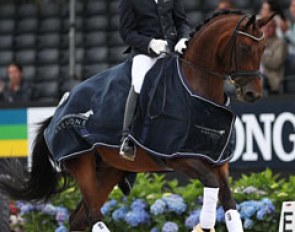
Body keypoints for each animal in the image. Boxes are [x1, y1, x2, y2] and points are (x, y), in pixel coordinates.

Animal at [0, 10, 274, 232]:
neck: (197, 88)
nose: (253, 94)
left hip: (109, 169)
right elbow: (211, 188)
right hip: (81, 163)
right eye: (244, 48)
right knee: (93, 216)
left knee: (79, 219)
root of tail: (58, 111)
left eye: (263, 49)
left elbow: (230, 206)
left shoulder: (218, 162)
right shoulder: (180, 158)